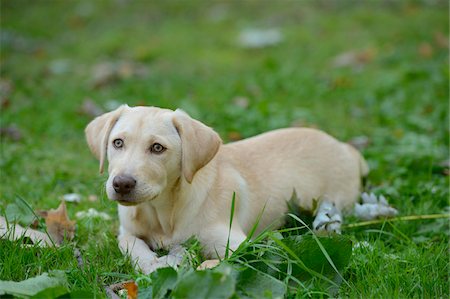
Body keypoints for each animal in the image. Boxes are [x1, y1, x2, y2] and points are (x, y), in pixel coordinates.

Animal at [85, 105, 370, 274]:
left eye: (157, 148)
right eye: (117, 143)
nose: (121, 184)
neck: (164, 212)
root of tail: (346, 148)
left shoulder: (243, 246)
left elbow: (208, 265)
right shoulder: (127, 231)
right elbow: (131, 247)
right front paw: (154, 264)